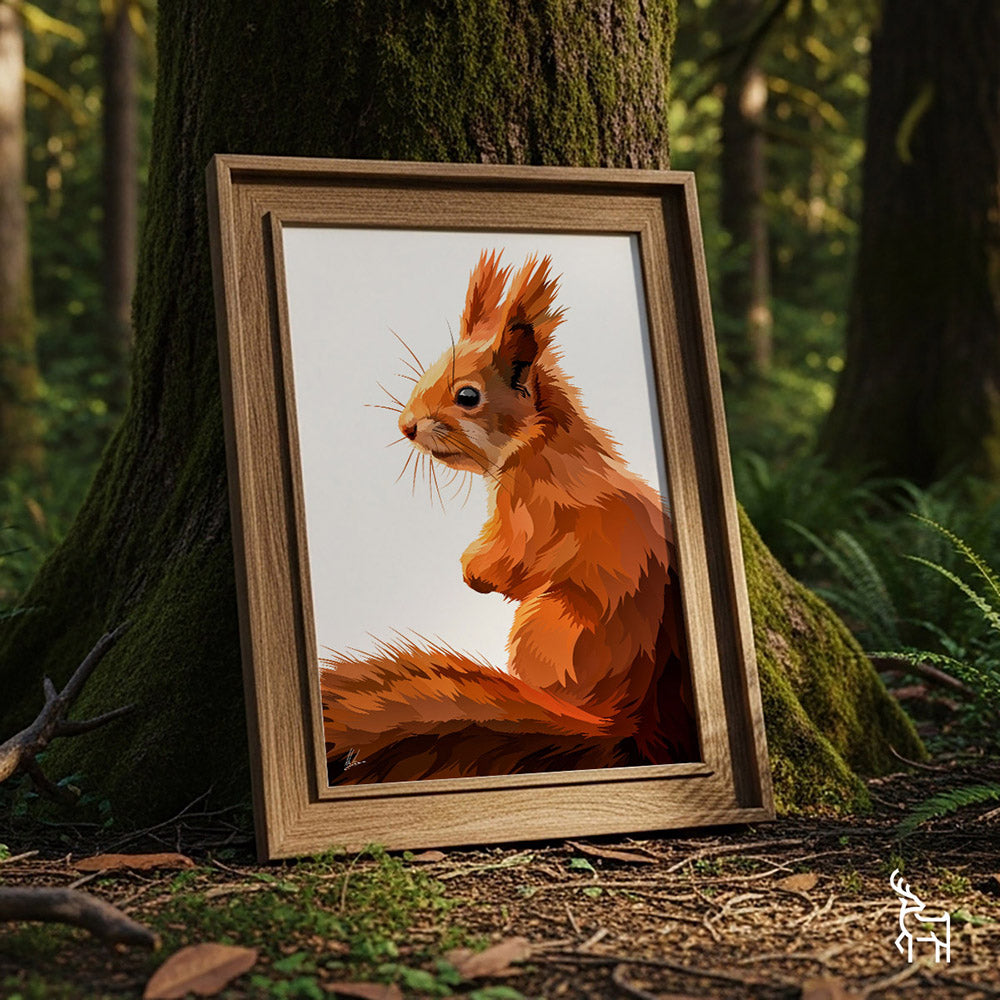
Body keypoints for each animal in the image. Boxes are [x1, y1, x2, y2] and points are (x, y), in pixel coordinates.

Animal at [320, 250, 697, 783]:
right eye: (427, 371)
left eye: (467, 396)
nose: (405, 426)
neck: (541, 445)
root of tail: (613, 721)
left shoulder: (528, 517)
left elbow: (511, 563)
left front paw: (472, 569)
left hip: (544, 625)